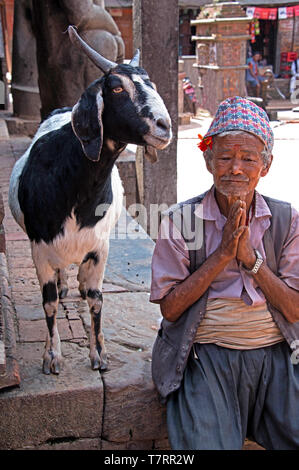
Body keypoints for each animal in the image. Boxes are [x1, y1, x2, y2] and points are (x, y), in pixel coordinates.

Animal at [8, 27, 172, 376]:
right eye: (117, 87)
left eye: (151, 85)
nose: (164, 126)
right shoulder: (39, 248)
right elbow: (49, 302)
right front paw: (52, 356)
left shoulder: (99, 246)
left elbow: (97, 298)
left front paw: (99, 354)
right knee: (59, 282)